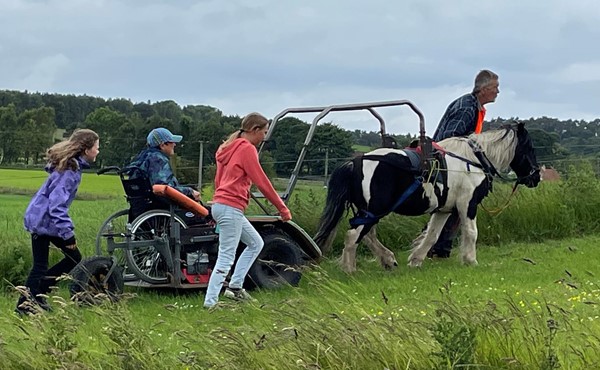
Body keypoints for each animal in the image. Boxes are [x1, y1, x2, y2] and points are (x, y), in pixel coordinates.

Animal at [314, 123, 540, 274]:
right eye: (529, 147)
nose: (536, 177)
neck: (473, 159)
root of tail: (356, 161)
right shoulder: (467, 205)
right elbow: (471, 232)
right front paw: (471, 260)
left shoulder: (443, 210)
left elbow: (432, 235)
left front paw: (416, 259)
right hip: (374, 210)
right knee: (353, 235)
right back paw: (350, 269)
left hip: (370, 211)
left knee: (367, 235)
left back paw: (387, 259)